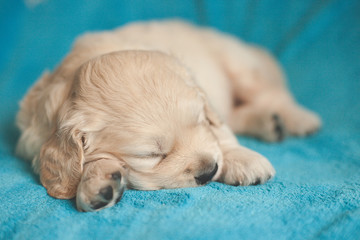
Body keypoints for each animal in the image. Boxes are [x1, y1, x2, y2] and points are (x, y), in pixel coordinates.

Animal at [16, 21, 320, 212]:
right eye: (151, 155)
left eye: (199, 122)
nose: (209, 171)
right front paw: (97, 183)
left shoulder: (206, 97)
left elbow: (220, 131)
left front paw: (242, 159)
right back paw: (270, 123)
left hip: (238, 64)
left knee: (272, 94)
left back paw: (296, 119)